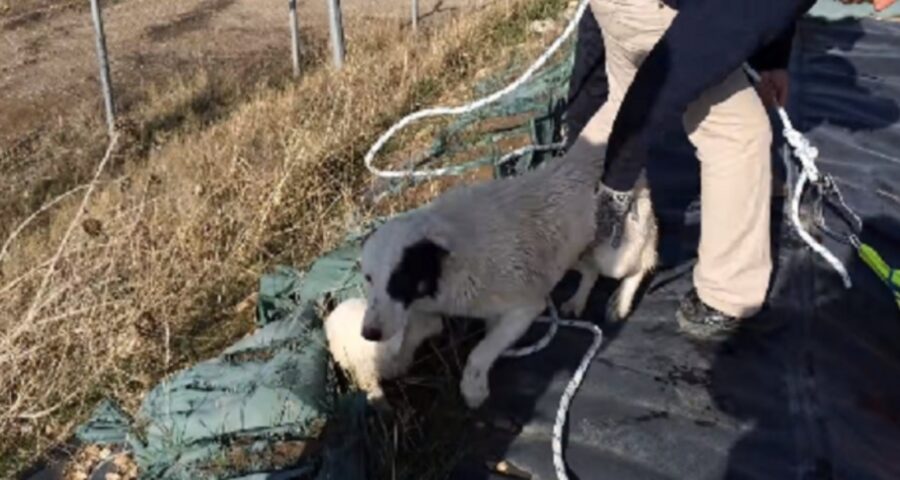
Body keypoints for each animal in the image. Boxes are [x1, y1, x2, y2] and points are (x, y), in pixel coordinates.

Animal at [360, 146, 660, 408]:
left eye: (400, 278)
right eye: (368, 279)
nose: (368, 334)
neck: (450, 260)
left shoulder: (525, 307)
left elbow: (479, 353)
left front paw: (473, 389)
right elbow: (410, 336)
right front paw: (394, 365)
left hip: (615, 253)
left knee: (643, 262)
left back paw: (620, 303)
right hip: (575, 250)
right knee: (590, 270)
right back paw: (577, 301)